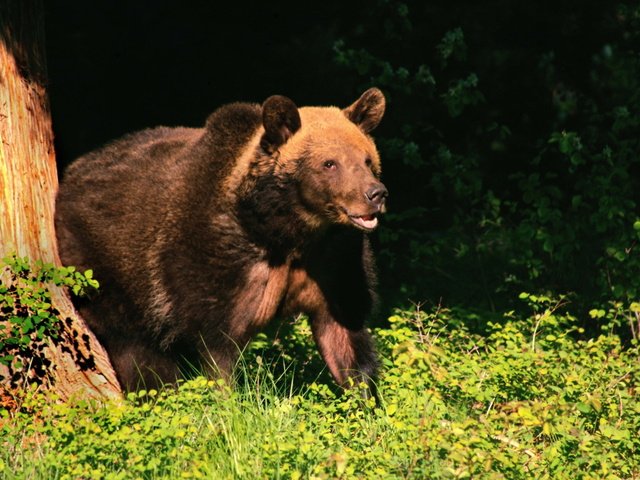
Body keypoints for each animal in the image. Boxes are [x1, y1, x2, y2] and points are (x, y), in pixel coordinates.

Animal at [55, 87, 388, 394]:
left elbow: (345, 340)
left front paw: (365, 401)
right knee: (138, 351)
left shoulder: (334, 264)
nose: (376, 194)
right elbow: (216, 351)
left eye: (367, 160)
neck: (286, 230)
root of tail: (71, 175)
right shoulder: (214, 262)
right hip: (106, 273)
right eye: (329, 163)